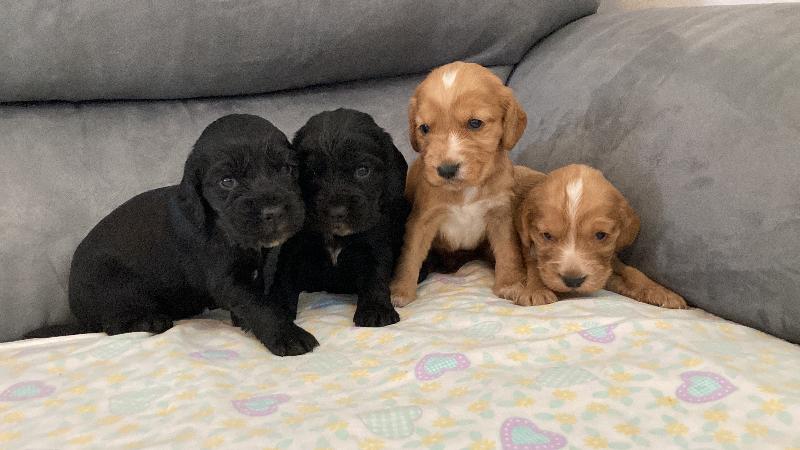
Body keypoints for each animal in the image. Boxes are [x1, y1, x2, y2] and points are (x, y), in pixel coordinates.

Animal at [26, 114, 320, 356]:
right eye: (227, 182)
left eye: (286, 169)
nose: (274, 212)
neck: (223, 225)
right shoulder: (226, 280)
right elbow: (257, 304)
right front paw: (287, 335)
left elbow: (257, 293)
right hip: (115, 286)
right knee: (113, 324)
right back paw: (150, 319)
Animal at [263, 109, 409, 328]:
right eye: (313, 172)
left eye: (362, 170)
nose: (337, 211)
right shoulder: (294, 249)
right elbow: (284, 279)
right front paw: (277, 311)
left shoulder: (375, 245)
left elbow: (375, 276)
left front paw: (375, 310)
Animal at [390, 61, 541, 307]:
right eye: (424, 128)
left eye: (475, 123)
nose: (446, 170)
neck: (465, 189)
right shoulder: (423, 218)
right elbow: (410, 256)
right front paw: (400, 291)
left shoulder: (500, 214)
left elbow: (507, 251)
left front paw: (509, 284)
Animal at [515, 164, 687, 308]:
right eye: (547, 235)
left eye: (600, 235)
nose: (573, 280)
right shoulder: (529, 248)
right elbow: (535, 267)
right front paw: (536, 290)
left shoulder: (606, 263)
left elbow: (631, 271)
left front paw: (661, 291)